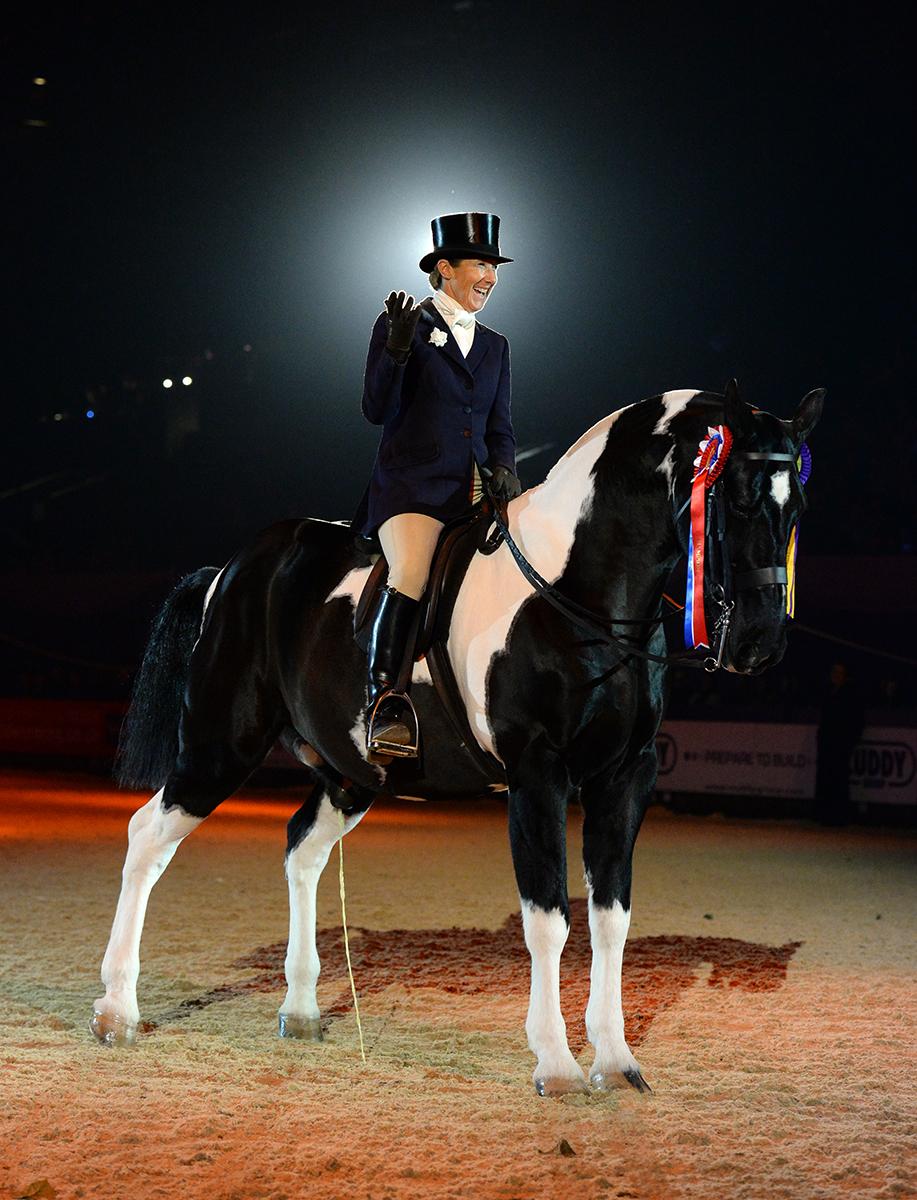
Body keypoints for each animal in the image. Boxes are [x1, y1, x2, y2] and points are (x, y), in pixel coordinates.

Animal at [90, 380, 823, 1096]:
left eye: (796, 507)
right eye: (736, 499)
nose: (759, 643)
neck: (577, 594)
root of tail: (234, 570)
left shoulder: (626, 776)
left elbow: (610, 919)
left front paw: (615, 1060)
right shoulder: (537, 775)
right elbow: (548, 919)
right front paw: (556, 1065)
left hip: (351, 771)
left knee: (302, 848)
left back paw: (299, 1011)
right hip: (221, 744)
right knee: (147, 838)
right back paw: (116, 1012)